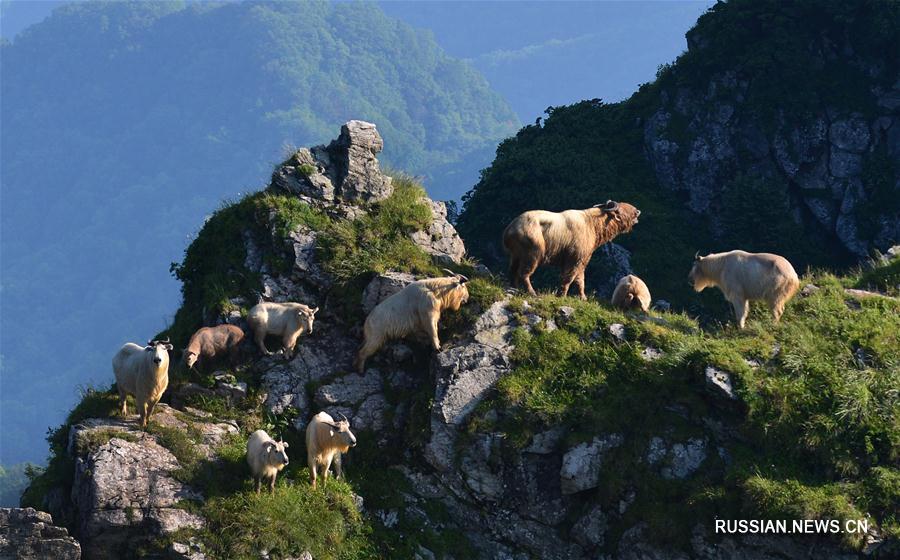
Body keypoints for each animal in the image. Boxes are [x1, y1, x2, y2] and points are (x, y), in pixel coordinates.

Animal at [502, 200, 644, 300]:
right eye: (622, 207)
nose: (637, 211)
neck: (591, 225)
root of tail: (509, 229)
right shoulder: (574, 259)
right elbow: (569, 279)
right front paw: (562, 295)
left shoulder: (582, 261)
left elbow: (580, 281)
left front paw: (583, 298)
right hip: (533, 253)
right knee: (524, 274)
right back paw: (532, 293)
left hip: (516, 255)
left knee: (513, 271)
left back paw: (514, 288)